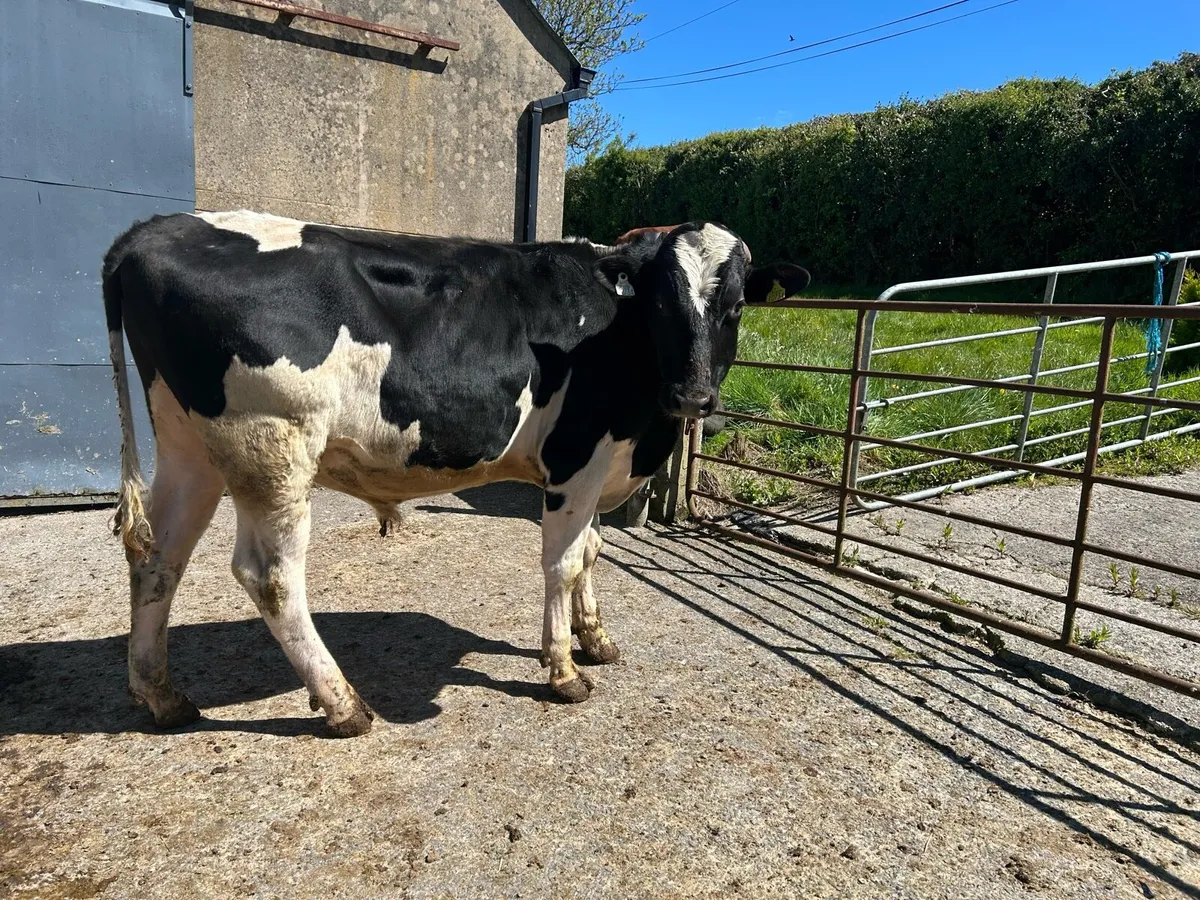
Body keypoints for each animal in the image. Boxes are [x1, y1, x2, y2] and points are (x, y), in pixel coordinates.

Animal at [103, 210, 810, 736]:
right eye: (662, 304)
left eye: (736, 305)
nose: (693, 397)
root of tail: (151, 230)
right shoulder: (576, 459)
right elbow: (563, 562)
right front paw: (563, 670)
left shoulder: (604, 463)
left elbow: (592, 551)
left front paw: (594, 638)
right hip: (271, 447)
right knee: (270, 577)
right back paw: (343, 704)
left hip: (191, 449)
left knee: (159, 558)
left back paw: (161, 695)